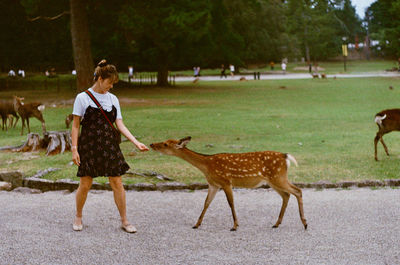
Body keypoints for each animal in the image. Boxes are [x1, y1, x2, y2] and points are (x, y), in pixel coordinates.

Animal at [148, 137, 308, 230]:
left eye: (165, 144)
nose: (151, 144)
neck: (207, 166)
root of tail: (285, 156)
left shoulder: (225, 181)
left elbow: (231, 203)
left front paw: (235, 226)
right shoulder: (213, 184)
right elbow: (206, 203)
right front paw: (196, 224)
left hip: (278, 177)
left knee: (297, 190)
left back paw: (304, 223)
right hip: (273, 180)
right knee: (286, 195)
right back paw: (276, 223)